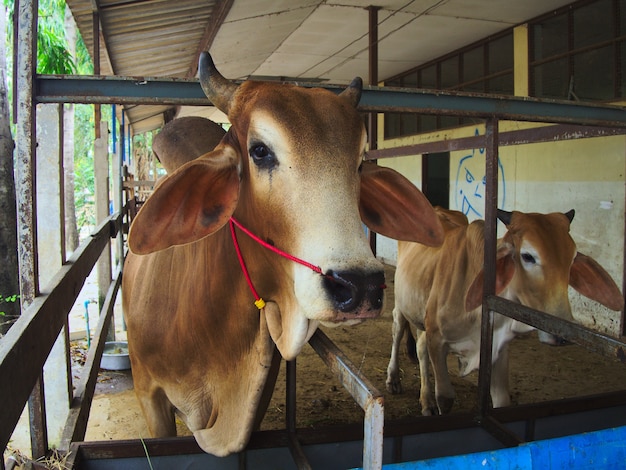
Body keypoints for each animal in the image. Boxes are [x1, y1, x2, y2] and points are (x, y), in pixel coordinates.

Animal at [386, 207, 620, 416]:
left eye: (571, 260)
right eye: (528, 256)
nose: (562, 334)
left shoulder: (497, 346)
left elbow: (502, 400)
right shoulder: (437, 340)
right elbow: (445, 398)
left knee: (420, 346)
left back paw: (425, 400)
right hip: (401, 302)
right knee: (398, 330)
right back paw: (394, 379)